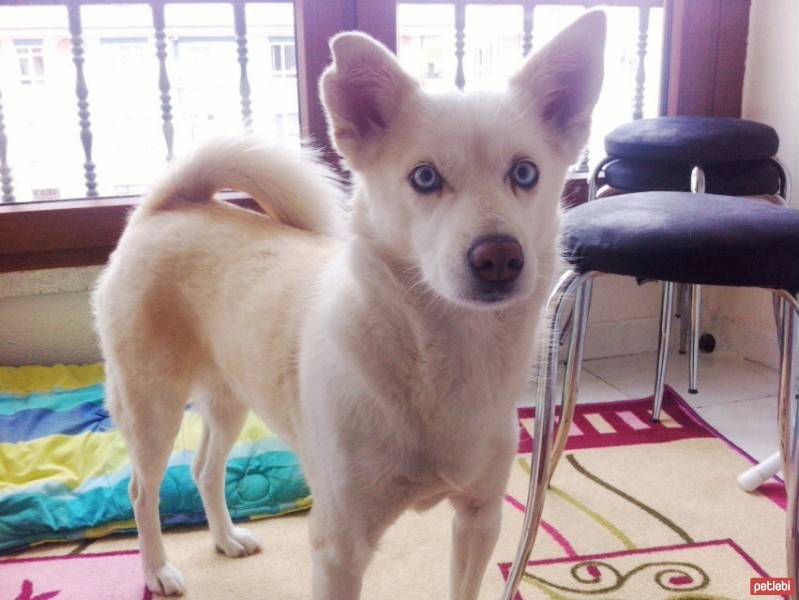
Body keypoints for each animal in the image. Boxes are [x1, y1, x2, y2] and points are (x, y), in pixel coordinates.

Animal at [92, 11, 608, 596]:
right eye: (424, 177)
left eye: (525, 173)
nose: (499, 256)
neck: (444, 354)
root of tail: (168, 205)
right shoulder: (340, 545)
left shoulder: (480, 518)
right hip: (151, 405)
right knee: (141, 489)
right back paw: (157, 569)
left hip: (230, 396)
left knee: (204, 468)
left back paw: (225, 538)